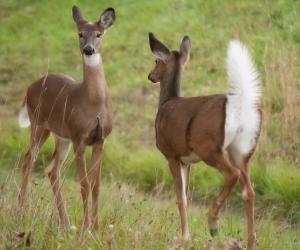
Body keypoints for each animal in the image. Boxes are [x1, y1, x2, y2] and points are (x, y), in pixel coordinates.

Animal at [17, 5, 116, 231]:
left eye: (99, 34)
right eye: (80, 34)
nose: (88, 49)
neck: (94, 102)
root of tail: (29, 88)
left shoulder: (100, 140)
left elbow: (97, 186)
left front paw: (96, 229)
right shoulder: (79, 137)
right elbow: (84, 185)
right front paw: (85, 228)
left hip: (61, 136)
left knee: (52, 169)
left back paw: (66, 222)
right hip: (39, 124)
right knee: (29, 161)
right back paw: (20, 212)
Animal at [148, 31, 260, 250]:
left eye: (156, 61)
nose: (150, 76)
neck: (166, 102)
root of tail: (239, 107)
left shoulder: (172, 155)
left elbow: (181, 197)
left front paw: (183, 238)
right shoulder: (187, 161)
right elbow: (185, 194)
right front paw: (186, 236)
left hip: (209, 149)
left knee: (231, 175)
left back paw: (213, 223)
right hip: (241, 151)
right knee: (249, 192)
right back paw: (249, 242)